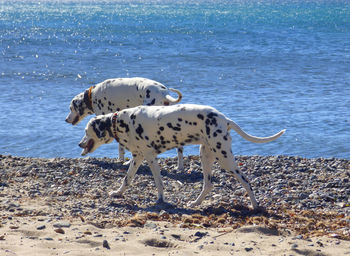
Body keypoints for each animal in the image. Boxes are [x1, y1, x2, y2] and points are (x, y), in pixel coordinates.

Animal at [78, 104, 284, 210]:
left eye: (86, 131)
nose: (79, 144)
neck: (121, 122)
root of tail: (225, 120)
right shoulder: (138, 157)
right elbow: (127, 179)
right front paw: (118, 193)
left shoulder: (150, 157)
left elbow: (158, 182)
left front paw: (160, 200)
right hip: (206, 156)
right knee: (208, 184)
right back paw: (196, 203)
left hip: (225, 159)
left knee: (246, 181)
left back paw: (255, 205)